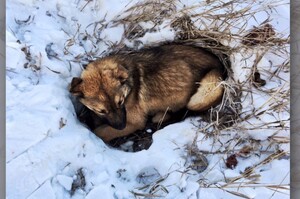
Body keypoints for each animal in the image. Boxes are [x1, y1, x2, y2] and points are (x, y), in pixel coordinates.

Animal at [69, 44, 226, 142]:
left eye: (121, 102)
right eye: (101, 110)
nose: (121, 126)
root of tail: (221, 65)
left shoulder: (135, 122)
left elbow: (102, 132)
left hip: (204, 94)